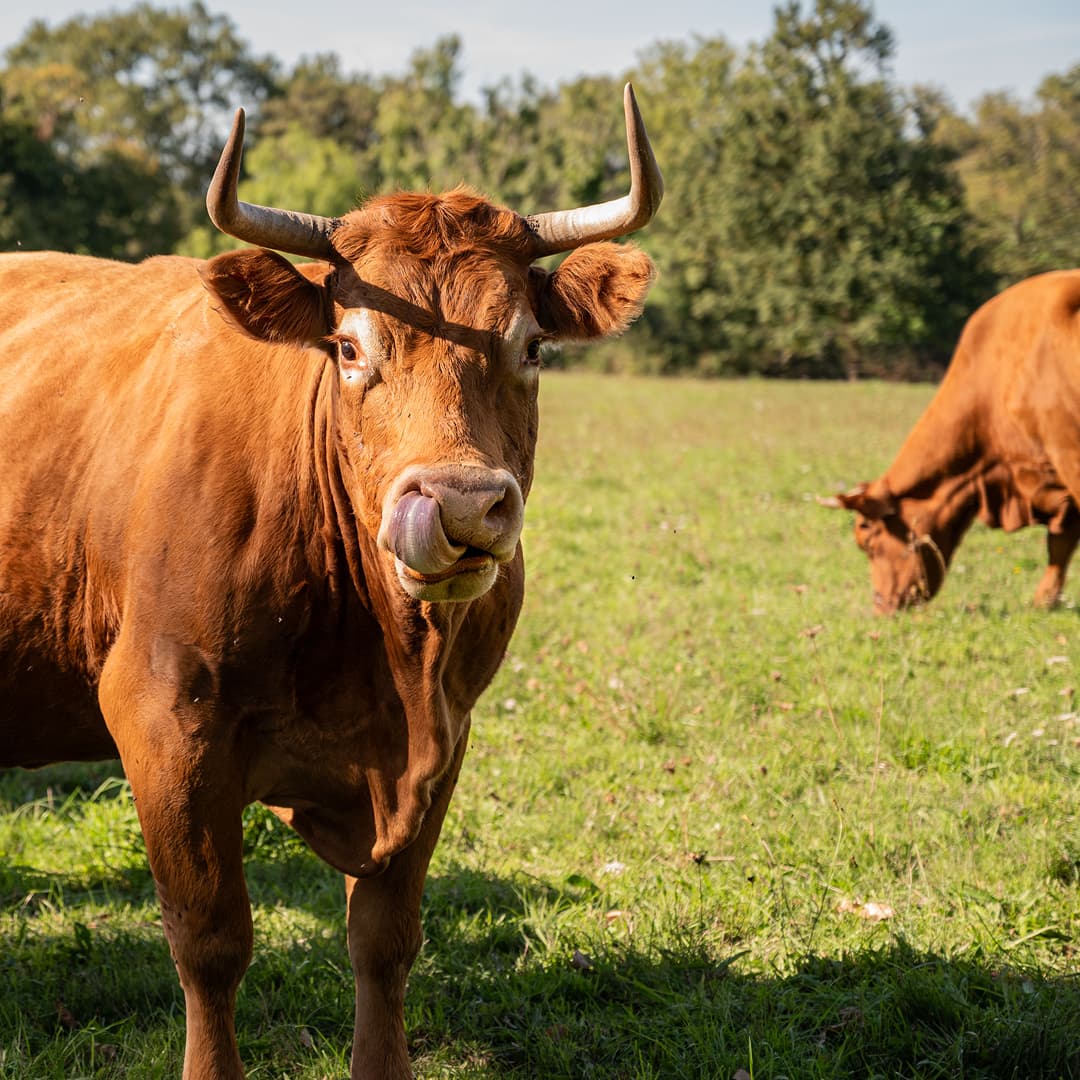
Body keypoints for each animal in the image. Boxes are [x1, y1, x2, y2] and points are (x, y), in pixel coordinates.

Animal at [0, 84, 661, 1078]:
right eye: (349, 348)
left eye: (534, 346)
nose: (460, 504)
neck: (383, 656)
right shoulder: (163, 718)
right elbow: (210, 942)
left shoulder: (446, 738)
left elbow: (385, 940)